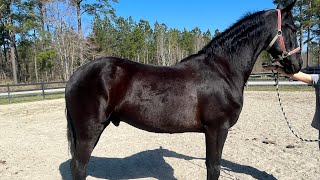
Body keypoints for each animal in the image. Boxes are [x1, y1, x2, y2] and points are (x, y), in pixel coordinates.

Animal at [65, 1, 302, 179]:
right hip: (89, 131)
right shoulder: (217, 129)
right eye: (292, 28)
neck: (222, 70)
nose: (297, 65)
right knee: (80, 167)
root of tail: (76, 75)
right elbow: (214, 168)